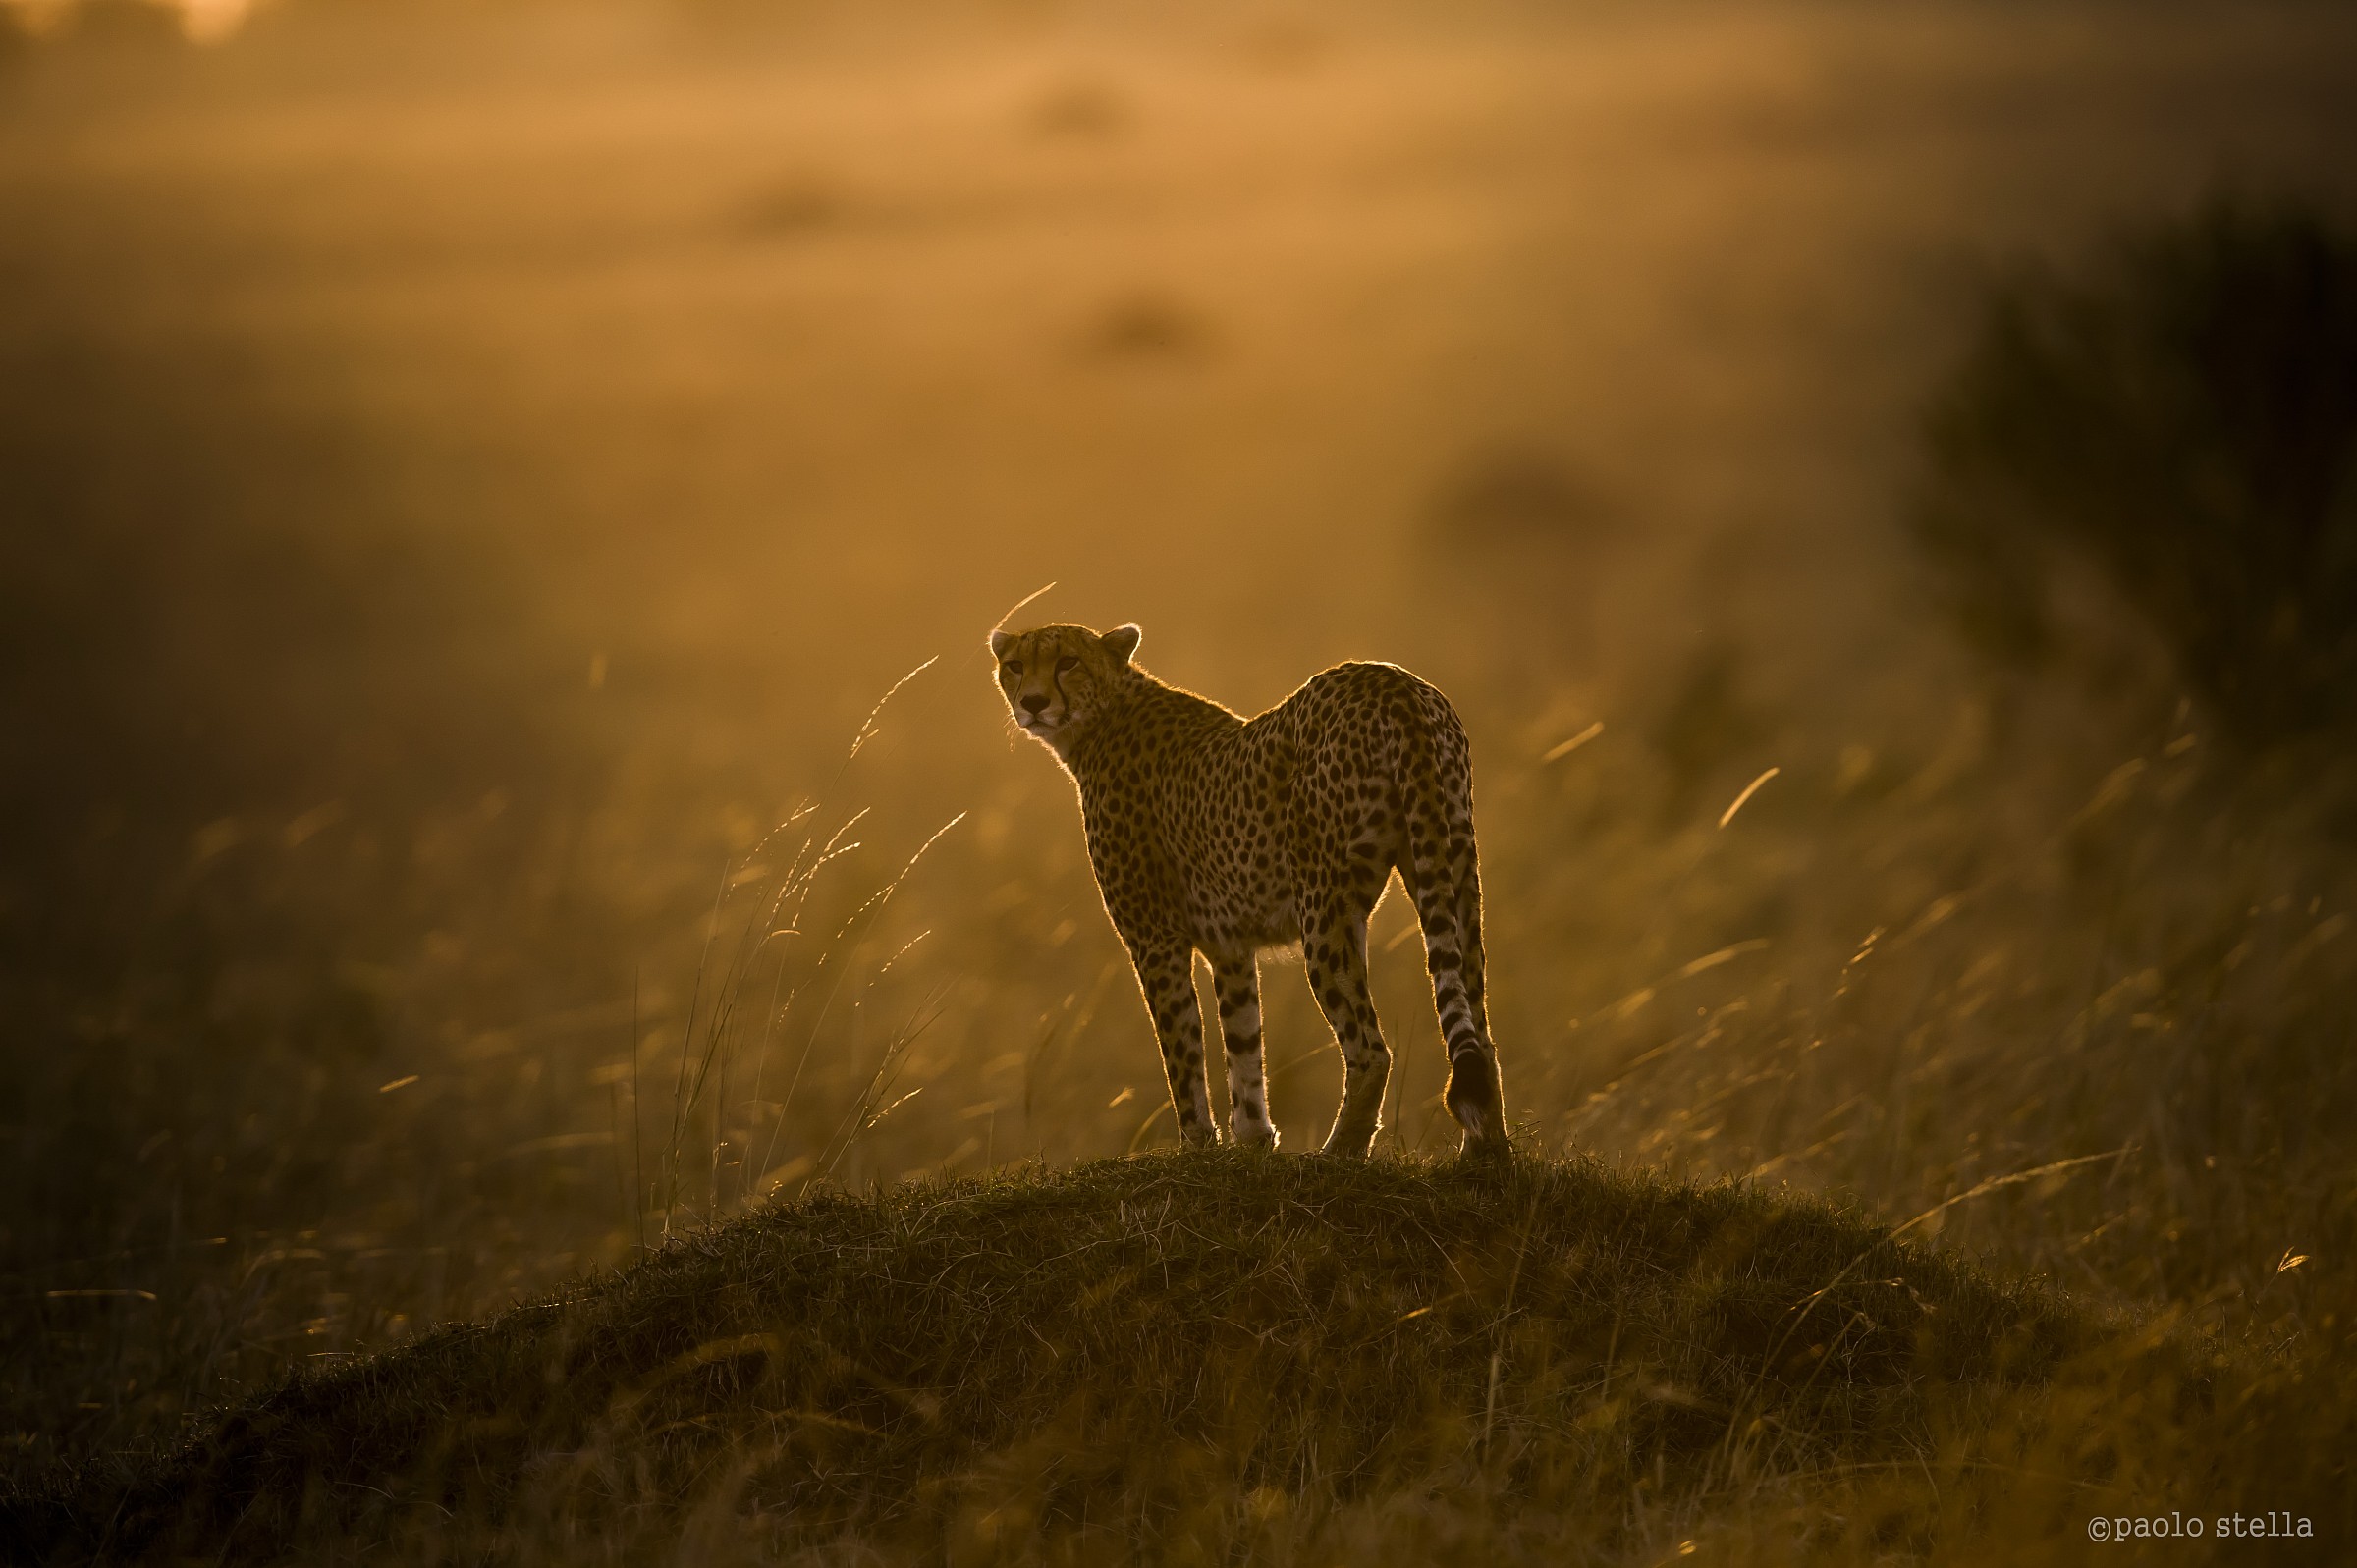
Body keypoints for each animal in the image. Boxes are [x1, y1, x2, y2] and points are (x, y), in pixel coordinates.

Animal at [989, 621, 1507, 1159]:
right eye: (1016, 665)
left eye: (1067, 661)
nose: (1032, 701)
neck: (1102, 718)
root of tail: (1392, 681)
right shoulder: (1229, 947)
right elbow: (1242, 1041)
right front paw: (1254, 1138)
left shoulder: (1156, 941)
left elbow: (1181, 1049)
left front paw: (1198, 1146)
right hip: (1453, 866)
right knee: (1479, 1030)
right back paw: (1485, 1153)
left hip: (1323, 904)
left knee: (1370, 1047)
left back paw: (1338, 1153)